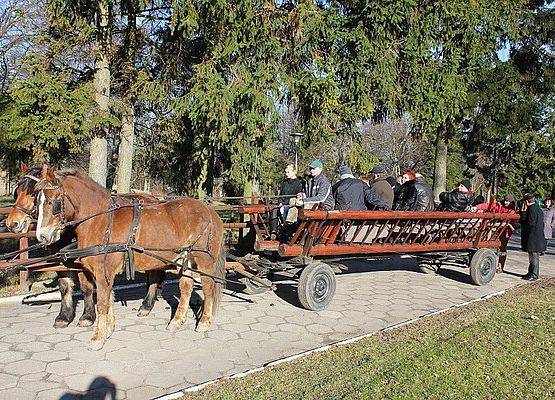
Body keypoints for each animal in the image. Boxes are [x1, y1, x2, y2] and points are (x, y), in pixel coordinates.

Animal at [5, 163, 165, 328]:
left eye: (33, 194)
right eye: (17, 193)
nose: (12, 224)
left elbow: (86, 287)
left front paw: (87, 316)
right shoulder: (62, 261)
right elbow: (64, 286)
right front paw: (64, 316)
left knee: (155, 273)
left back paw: (146, 305)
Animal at [34, 164, 226, 348]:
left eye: (52, 202)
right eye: (38, 202)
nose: (42, 236)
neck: (103, 221)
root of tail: (209, 210)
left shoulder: (103, 273)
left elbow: (102, 303)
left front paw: (98, 338)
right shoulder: (104, 274)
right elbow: (109, 299)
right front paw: (108, 329)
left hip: (204, 261)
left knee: (208, 287)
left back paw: (204, 321)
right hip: (185, 257)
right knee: (186, 286)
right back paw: (176, 321)